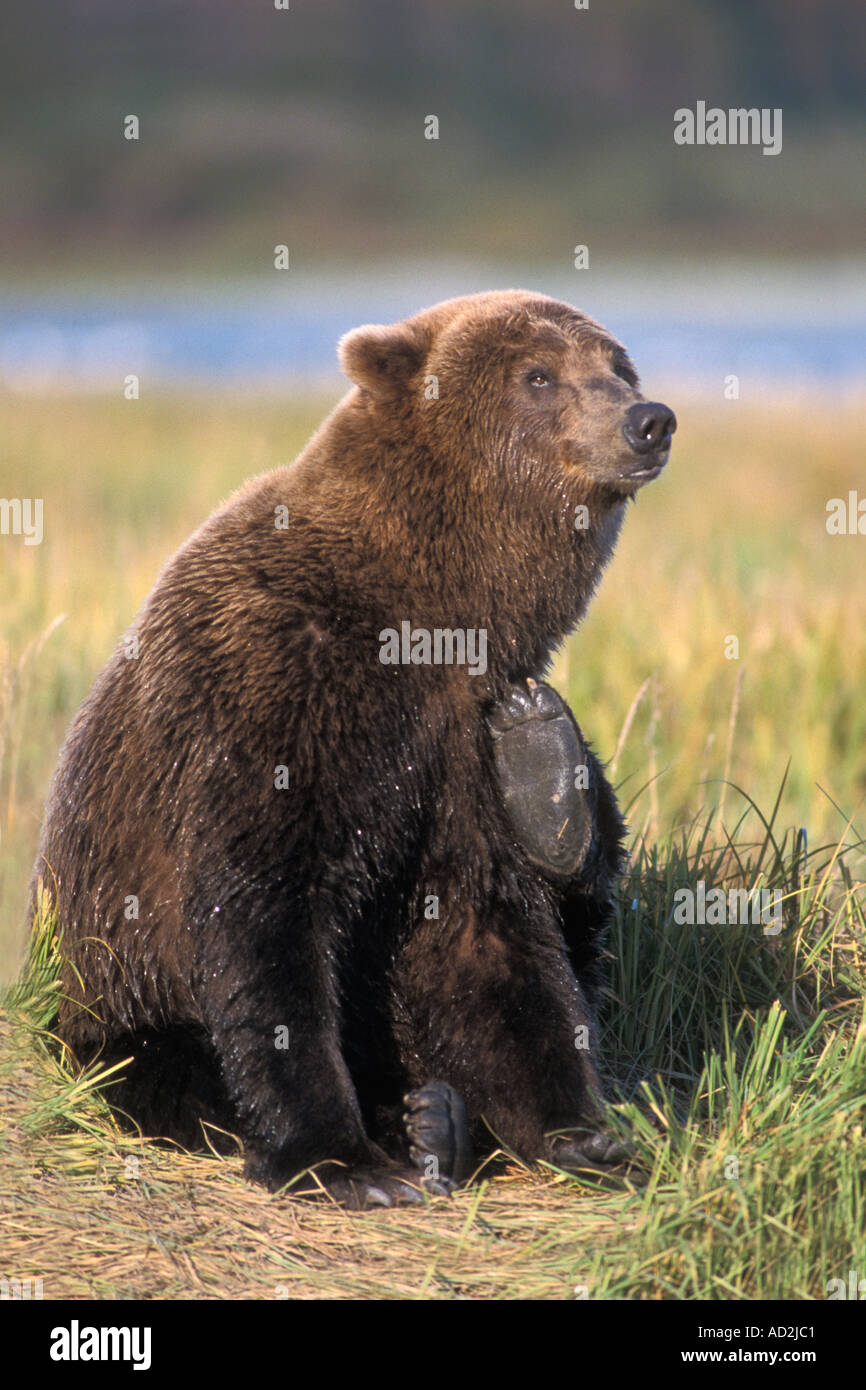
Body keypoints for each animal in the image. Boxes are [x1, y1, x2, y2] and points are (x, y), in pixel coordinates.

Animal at [32, 290, 678, 1206]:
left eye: (619, 365)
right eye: (538, 375)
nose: (648, 420)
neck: (430, 610)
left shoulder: (459, 738)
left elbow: (483, 934)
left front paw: (580, 1130)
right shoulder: (277, 688)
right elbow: (267, 913)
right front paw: (342, 1158)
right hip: (108, 988)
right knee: (166, 1062)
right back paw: (412, 1120)